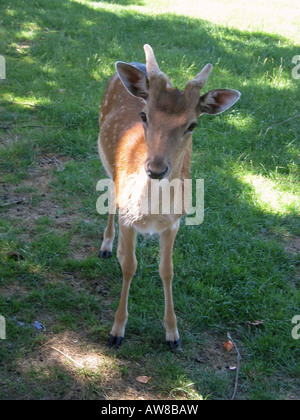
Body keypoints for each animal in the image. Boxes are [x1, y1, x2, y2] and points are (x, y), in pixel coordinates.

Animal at [97, 44, 240, 350]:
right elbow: (130, 267)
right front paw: (116, 331)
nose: (155, 169)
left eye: (192, 124)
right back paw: (107, 246)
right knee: (110, 199)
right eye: (144, 115)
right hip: (108, 166)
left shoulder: (174, 223)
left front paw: (173, 334)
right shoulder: (127, 216)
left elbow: (167, 270)